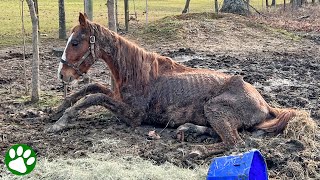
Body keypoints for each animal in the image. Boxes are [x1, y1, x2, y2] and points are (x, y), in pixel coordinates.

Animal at [48, 12, 296, 150]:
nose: (62, 74)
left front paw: (61, 121)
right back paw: (187, 129)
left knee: (234, 142)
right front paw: (56, 111)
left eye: (76, 42)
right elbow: (91, 89)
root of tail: (264, 103)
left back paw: (197, 150)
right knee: (218, 134)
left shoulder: (132, 116)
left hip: (214, 108)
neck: (136, 73)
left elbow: (93, 97)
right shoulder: (116, 96)